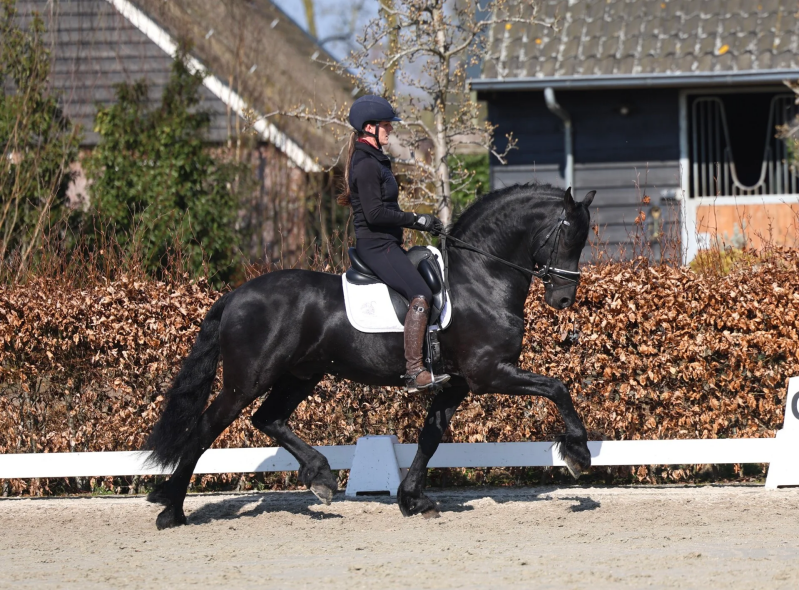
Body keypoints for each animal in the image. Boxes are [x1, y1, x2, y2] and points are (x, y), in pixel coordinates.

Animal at [145, 182, 596, 529]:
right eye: (568, 235)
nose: (563, 299)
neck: (481, 278)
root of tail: (236, 295)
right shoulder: (490, 373)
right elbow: (558, 388)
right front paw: (578, 454)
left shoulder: (458, 383)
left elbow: (430, 437)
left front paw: (413, 500)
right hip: (248, 379)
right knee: (206, 429)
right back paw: (171, 510)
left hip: (300, 375)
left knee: (267, 418)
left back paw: (320, 477)